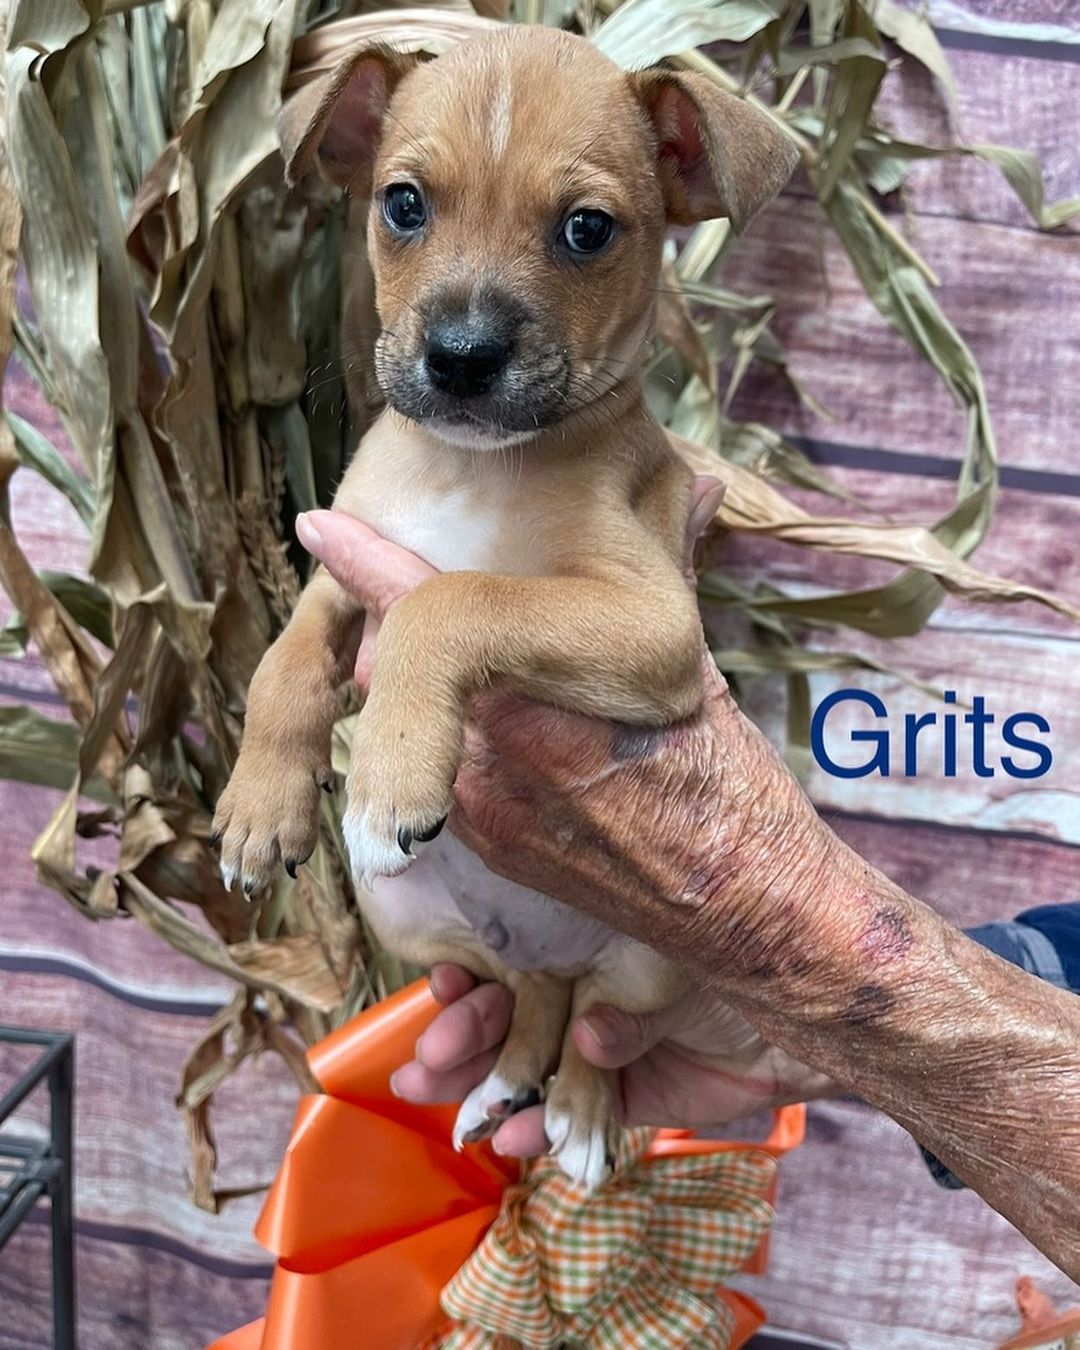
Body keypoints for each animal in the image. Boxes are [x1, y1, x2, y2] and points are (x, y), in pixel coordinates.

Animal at [214, 18, 799, 1182]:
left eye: (587, 229)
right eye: (403, 205)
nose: (461, 357)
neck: (468, 470)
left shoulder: (650, 619)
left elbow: (455, 599)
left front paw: (390, 770)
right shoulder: (344, 561)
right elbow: (283, 663)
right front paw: (262, 804)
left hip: (656, 960)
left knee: (595, 1020)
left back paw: (578, 1111)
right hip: (409, 916)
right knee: (534, 991)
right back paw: (505, 1079)